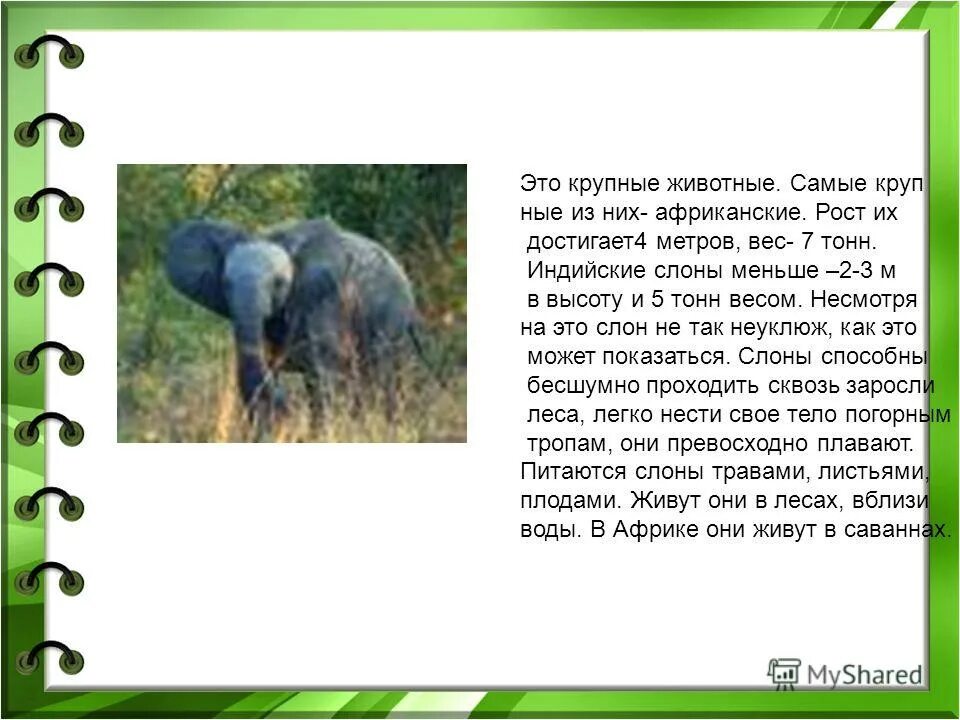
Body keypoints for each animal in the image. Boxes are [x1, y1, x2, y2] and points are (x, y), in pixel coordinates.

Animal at [165, 217, 420, 429]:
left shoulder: (323, 300)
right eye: (226, 284)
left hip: (391, 313)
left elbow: (325, 371)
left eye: (278, 283)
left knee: (381, 373)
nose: (284, 405)